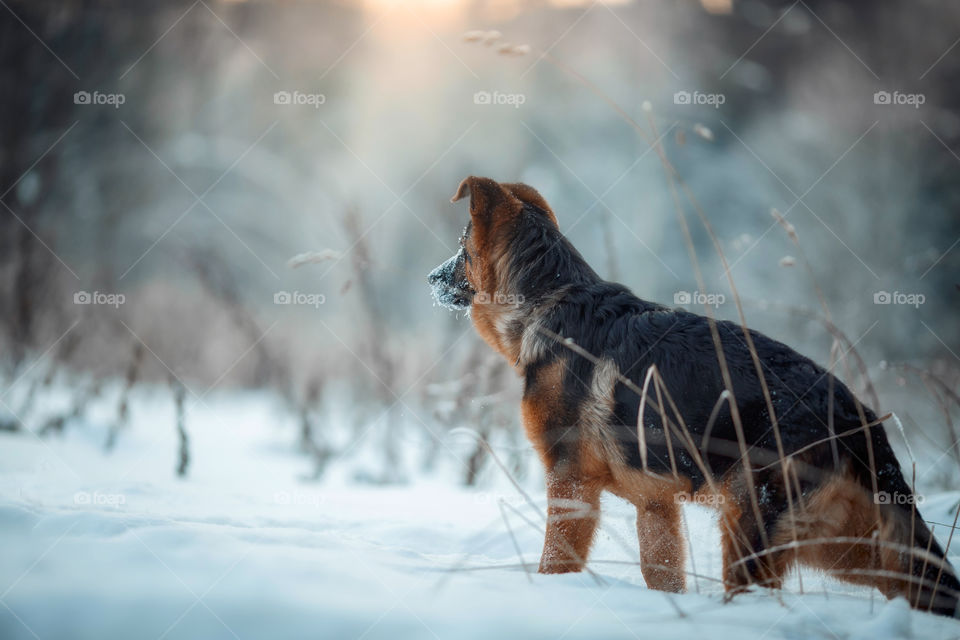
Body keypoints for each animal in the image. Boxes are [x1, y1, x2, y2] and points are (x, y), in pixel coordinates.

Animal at [430, 175, 960, 616]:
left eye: (461, 248)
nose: (431, 279)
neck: (549, 303)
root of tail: (857, 412)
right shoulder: (656, 507)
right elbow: (662, 574)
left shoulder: (571, 483)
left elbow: (555, 561)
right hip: (844, 545)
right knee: (918, 585)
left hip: (750, 527)